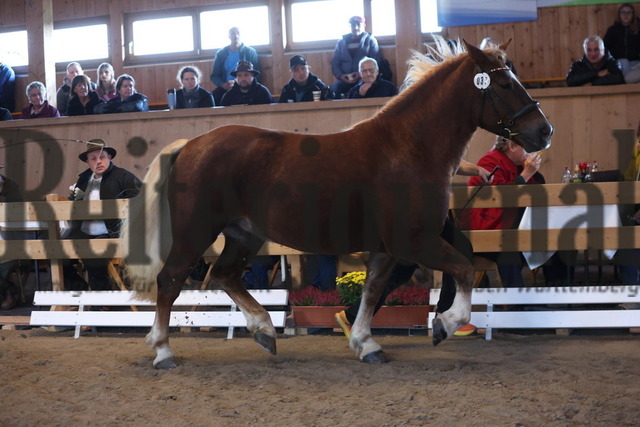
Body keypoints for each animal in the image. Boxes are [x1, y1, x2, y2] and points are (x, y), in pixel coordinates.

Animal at [122, 38, 552, 370]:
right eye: (503, 83)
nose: (544, 131)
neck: (409, 148)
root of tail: (190, 145)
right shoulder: (414, 241)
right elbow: (462, 269)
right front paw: (443, 324)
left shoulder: (388, 248)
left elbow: (374, 289)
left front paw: (366, 343)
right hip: (196, 233)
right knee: (170, 280)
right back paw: (163, 351)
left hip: (244, 235)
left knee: (224, 276)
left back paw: (265, 331)